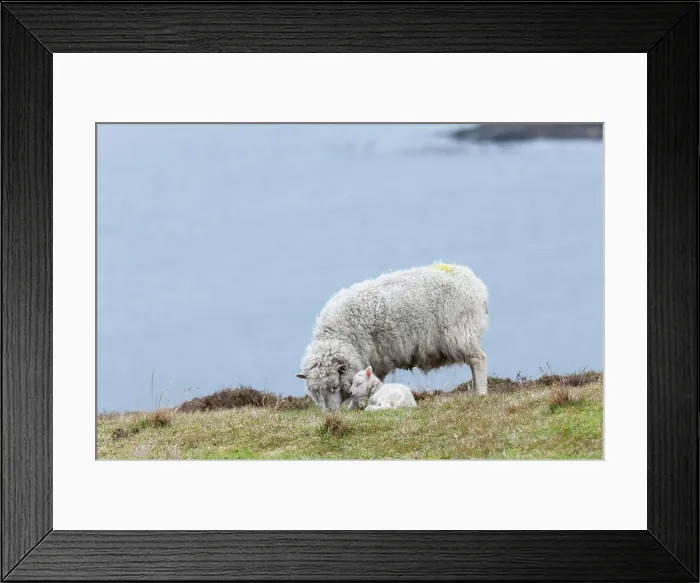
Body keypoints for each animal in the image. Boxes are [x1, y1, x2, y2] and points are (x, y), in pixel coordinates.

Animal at [296, 263, 489, 410]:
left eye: (335, 386)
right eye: (315, 391)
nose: (330, 413)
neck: (338, 335)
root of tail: (474, 282)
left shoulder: (369, 356)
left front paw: (354, 407)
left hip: (460, 333)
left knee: (478, 360)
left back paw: (481, 392)